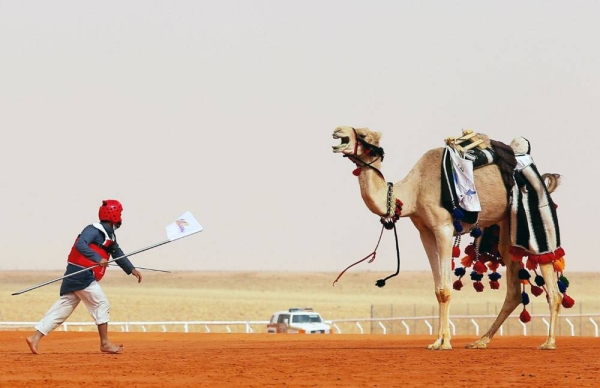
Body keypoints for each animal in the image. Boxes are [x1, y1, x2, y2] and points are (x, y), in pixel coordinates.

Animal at [330, 126, 564, 350]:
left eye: (363, 134)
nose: (337, 131)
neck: (413, 192)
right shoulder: (425, 231)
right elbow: (437, 290)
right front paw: (436, 341)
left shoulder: (443, 227)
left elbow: (445, 289)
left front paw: (445, 343)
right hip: (506, 225)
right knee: (513, 287)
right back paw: (481, 341)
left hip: (530, 211)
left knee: (549, 275)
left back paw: (549, 341)